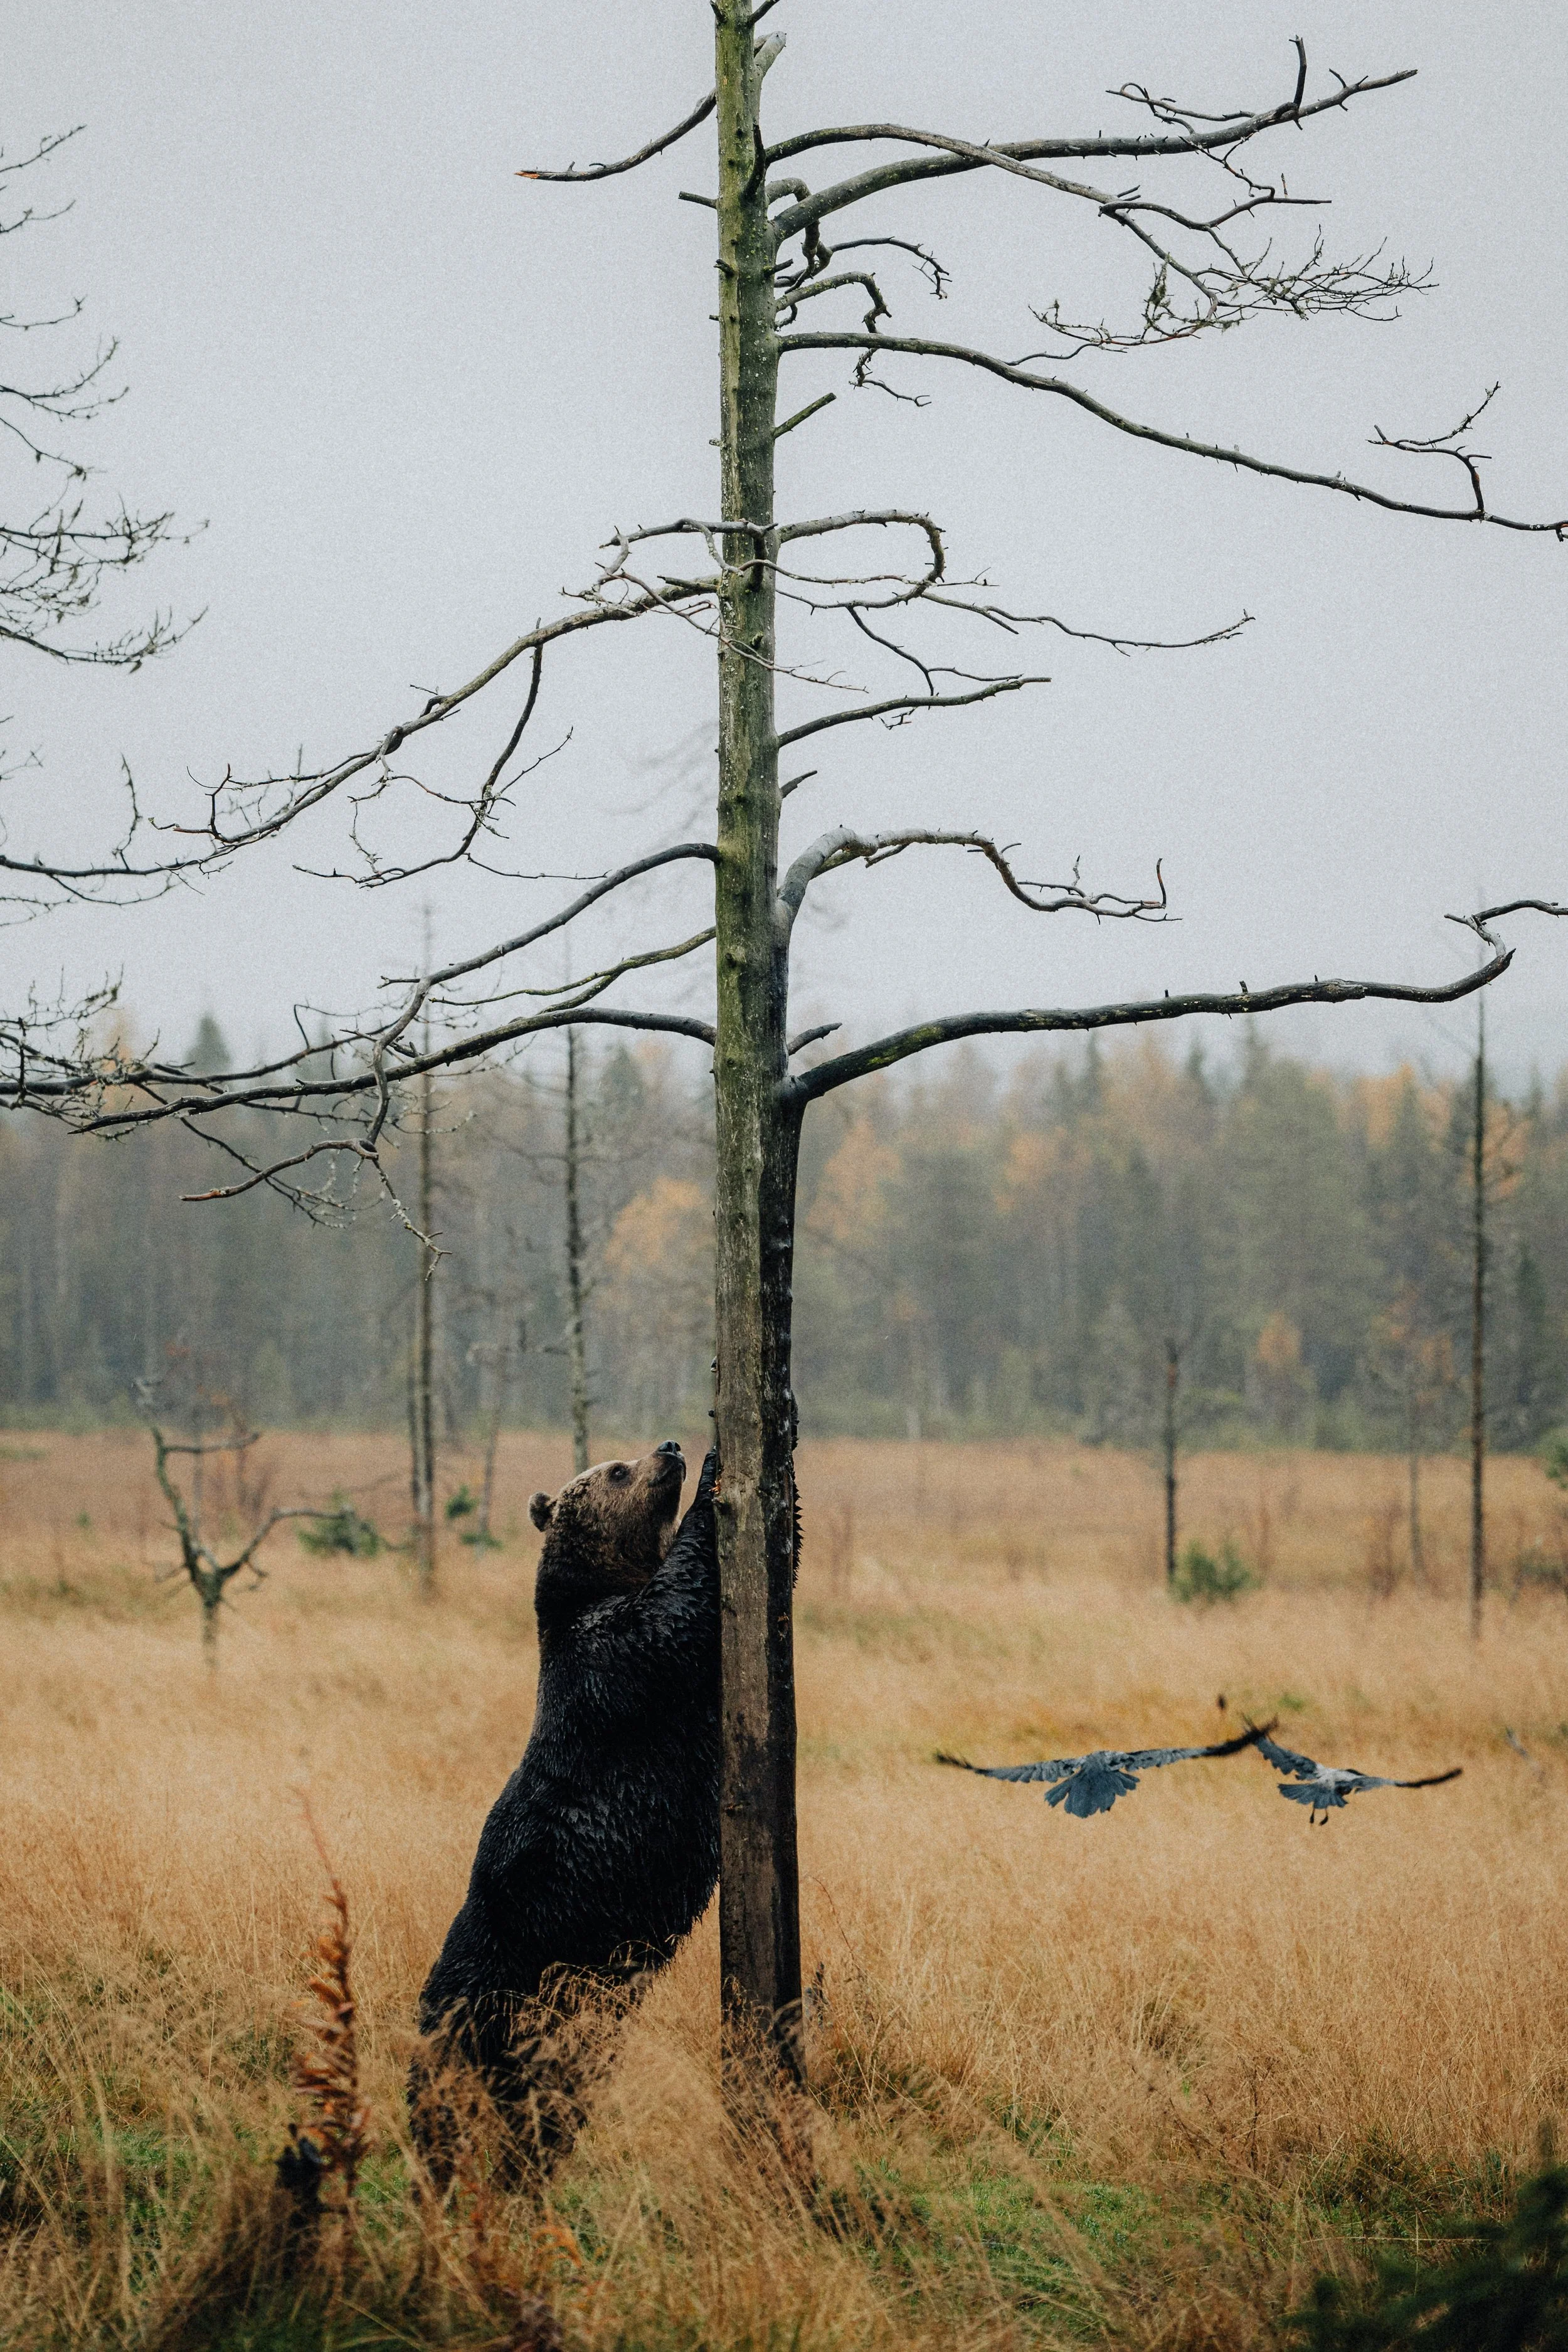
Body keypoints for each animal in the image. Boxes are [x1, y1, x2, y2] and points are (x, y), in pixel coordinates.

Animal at [410, 1437, 720, 2183]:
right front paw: (714, 1477)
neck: (603, 1583)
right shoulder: (618, 1656)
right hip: (508, 1988)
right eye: (616, 1469)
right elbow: (678, 1609)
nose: (668, 1448)